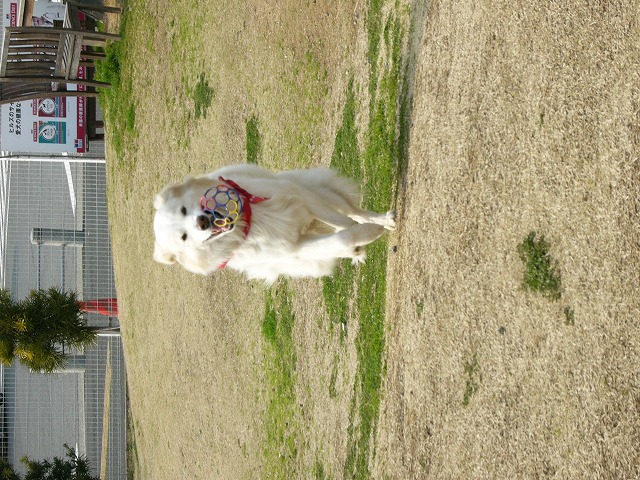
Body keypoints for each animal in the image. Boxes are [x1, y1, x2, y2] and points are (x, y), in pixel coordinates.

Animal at [155, 163, 396, 282]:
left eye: (183, 210)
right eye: (184, 238)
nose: (203, 222)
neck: (250, 223)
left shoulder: (303, 199)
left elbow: (344, 223)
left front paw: (370, 229)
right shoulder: (295, 248)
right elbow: (340, 238)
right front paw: (365, 237)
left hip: (319, 191)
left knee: (351, 211)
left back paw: (382, 220)